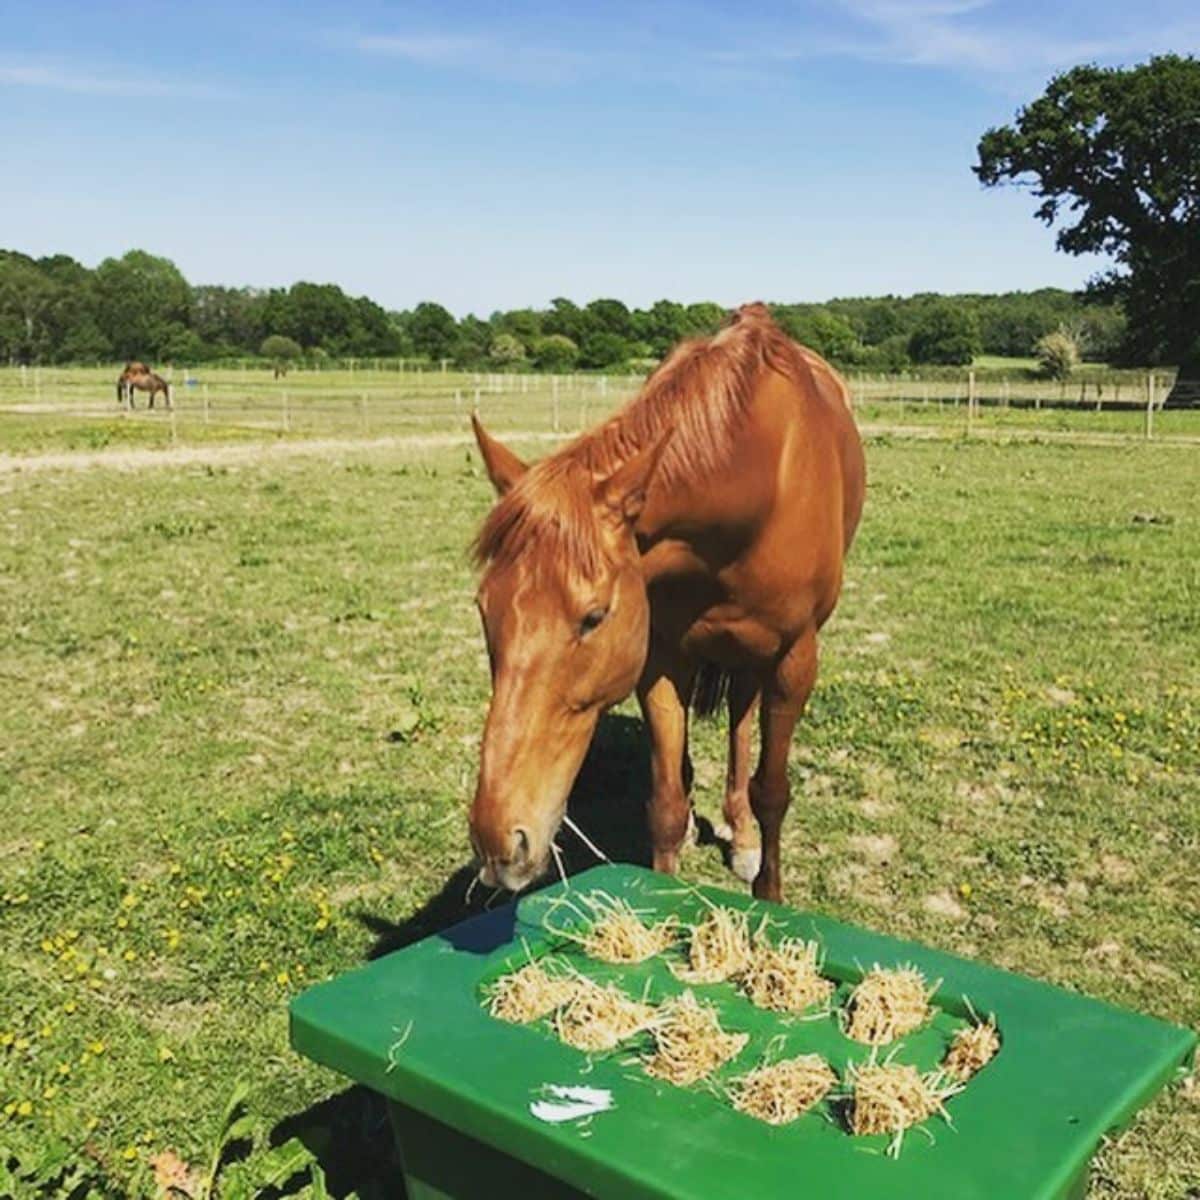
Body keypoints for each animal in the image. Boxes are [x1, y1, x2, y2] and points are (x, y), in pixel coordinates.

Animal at [465, 302, 864, 902]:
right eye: (484, 609)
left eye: (594, 617)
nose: (500, 843)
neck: (756, 479)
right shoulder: (661, 658)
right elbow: (667, 806)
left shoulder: (795, 658)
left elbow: (773, 790)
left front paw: (769, 894)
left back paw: (743, 834)